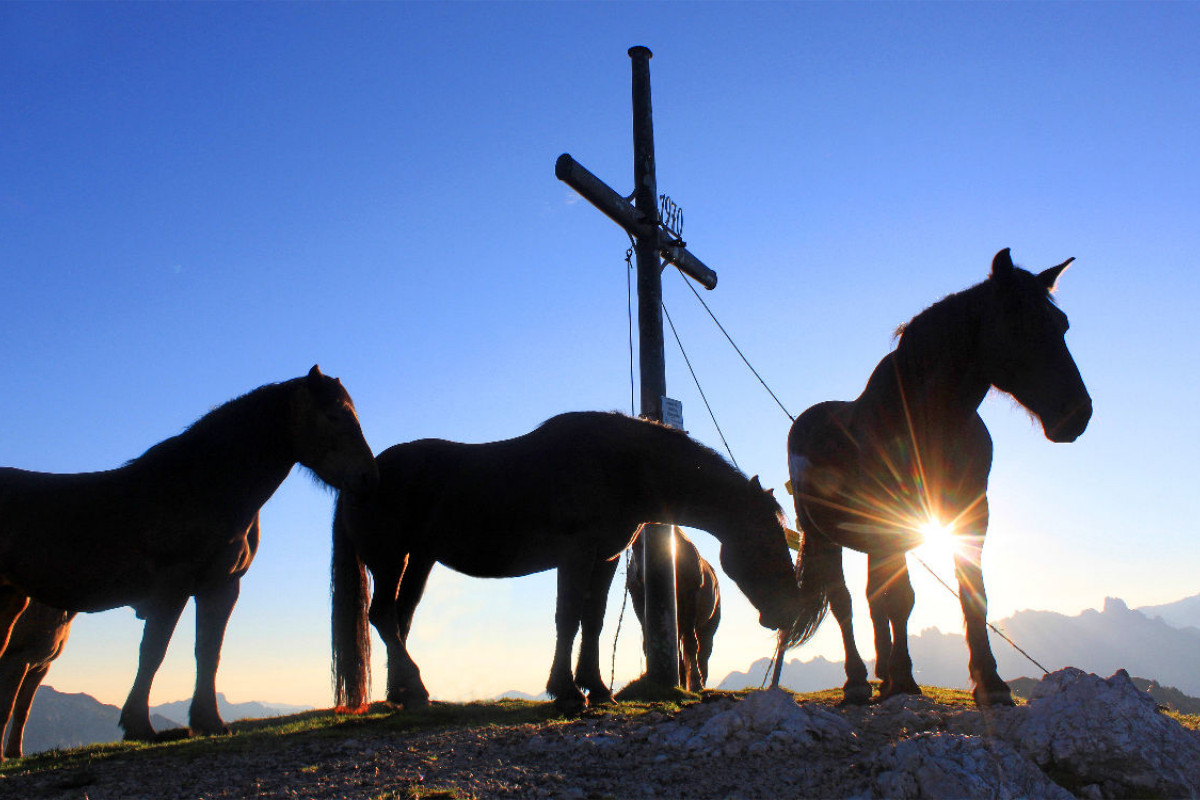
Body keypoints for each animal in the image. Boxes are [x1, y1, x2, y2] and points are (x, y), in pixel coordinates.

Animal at [0, 371, 374, 743]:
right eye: (335, 416)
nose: (368, 476)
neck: (200, 487)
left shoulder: (221, 585)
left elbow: (208, 651)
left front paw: (208, 720)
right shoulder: (173, 583)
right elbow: (153, 651)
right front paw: (140, 726)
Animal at [628, 527, 720, 690]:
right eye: (635, 543)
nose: (644, 576)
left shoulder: (691, 596)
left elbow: (691, 644)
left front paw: (695, 682)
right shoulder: (639, 603)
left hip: (708, 624)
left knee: (703, 651)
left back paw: (701, 682)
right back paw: (682, 681)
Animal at [782, 250, 1094, 705]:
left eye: (1062, 324)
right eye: (1018, 324)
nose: (1077, 413)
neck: (924, 422)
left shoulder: (971, 517)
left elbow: (968, 594)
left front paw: (989, 682)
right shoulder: (891, 524)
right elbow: (900, 600)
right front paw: (904, 680)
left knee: (873, 597)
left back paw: (882, 674)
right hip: (825, 536)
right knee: (844, 602)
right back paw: (858, 680)